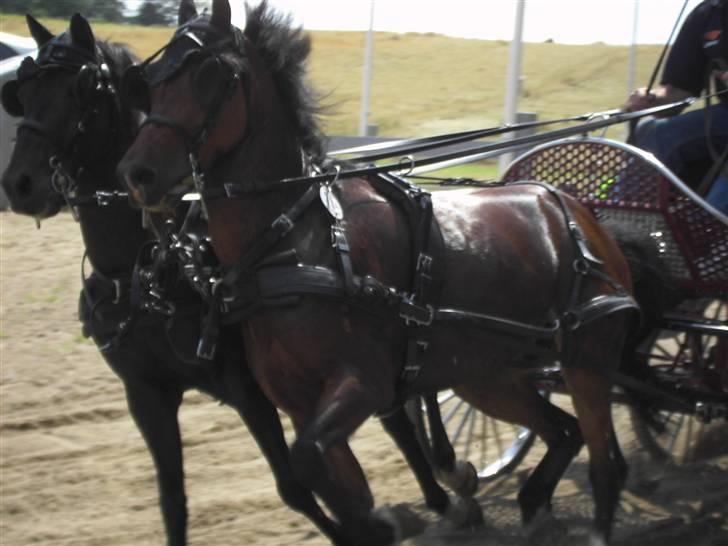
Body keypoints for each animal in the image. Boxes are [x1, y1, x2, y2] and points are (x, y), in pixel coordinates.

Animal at [0, 12, 479, 546]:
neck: (145, 266)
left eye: (81, 88)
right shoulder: (145, 394)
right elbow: (173, 502)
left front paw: (366, 524)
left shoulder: (247, 386)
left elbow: (293, 485)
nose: (19, 184)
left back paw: (448, 483)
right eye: (21, 91)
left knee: (411, 404)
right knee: (399, 413)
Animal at [117, 1, 640, 544]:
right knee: (563, 431)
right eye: (147, 82)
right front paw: (398, 515)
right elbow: (332, 482)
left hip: (587, 361)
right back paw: (532, 503)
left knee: (604, 463)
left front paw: (397, 519)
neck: (296, 240)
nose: (137, 173)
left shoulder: (363, 384)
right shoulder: (301, 405)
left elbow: (310, 461)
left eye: (210, 75)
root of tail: (577, 212)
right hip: (488, 374)